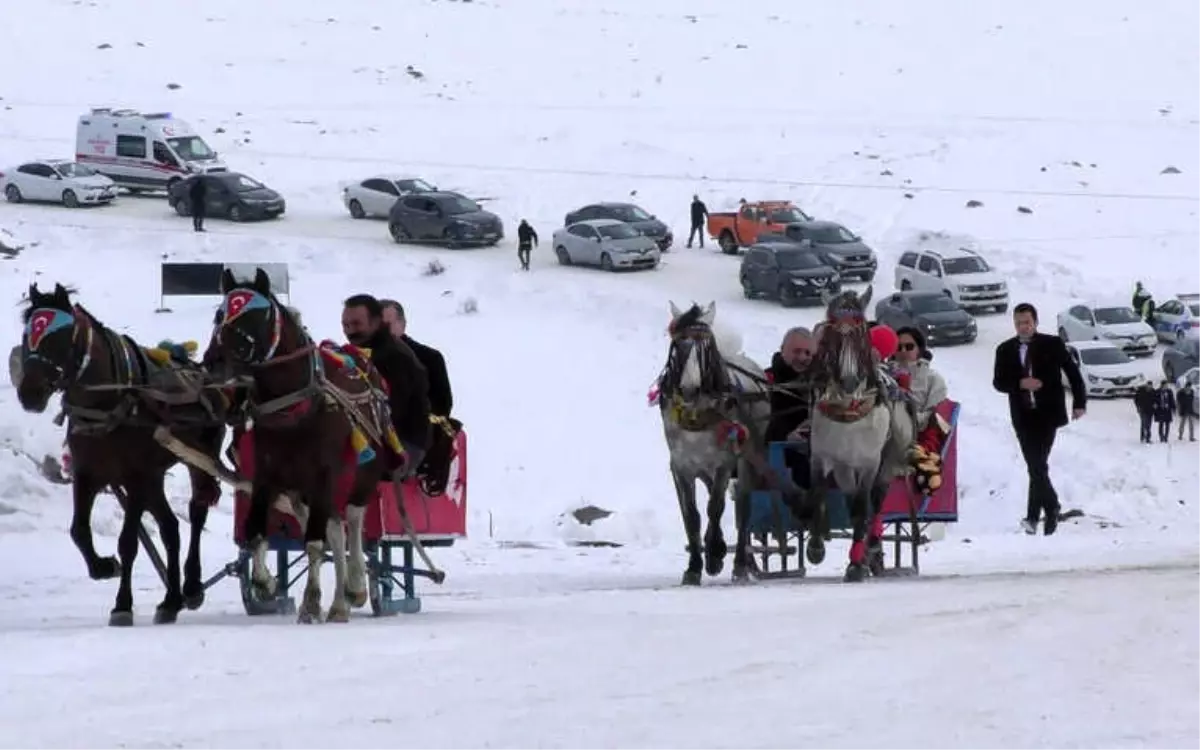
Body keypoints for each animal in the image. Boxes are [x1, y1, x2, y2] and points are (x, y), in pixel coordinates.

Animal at [16, 283, 225, 624]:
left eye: (59, 337)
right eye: (26, 335)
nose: (30, 393)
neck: (108, 403)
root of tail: (205, 376)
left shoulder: (135, 476)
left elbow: (128, 542)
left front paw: (122, 604)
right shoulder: (87, 474)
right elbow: (78, 531)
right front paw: (103, 566)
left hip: (199, 458)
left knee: (196, 513)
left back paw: (192, 586)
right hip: (155, 477)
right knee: (170, 529)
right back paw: (171, 600)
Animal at [205, 267, 393, 619]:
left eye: (254, 318)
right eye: (219, 314)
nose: (213, 362)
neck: (295, 408)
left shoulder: (323, 475)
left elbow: (314, 544)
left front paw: (311, 601)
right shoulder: (267, 476)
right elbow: (257, 534)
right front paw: (265, 584)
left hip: (361, 476)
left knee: (352, 523)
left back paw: (353, 589)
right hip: (301, 492)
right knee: (335, 530)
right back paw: (340, 600)